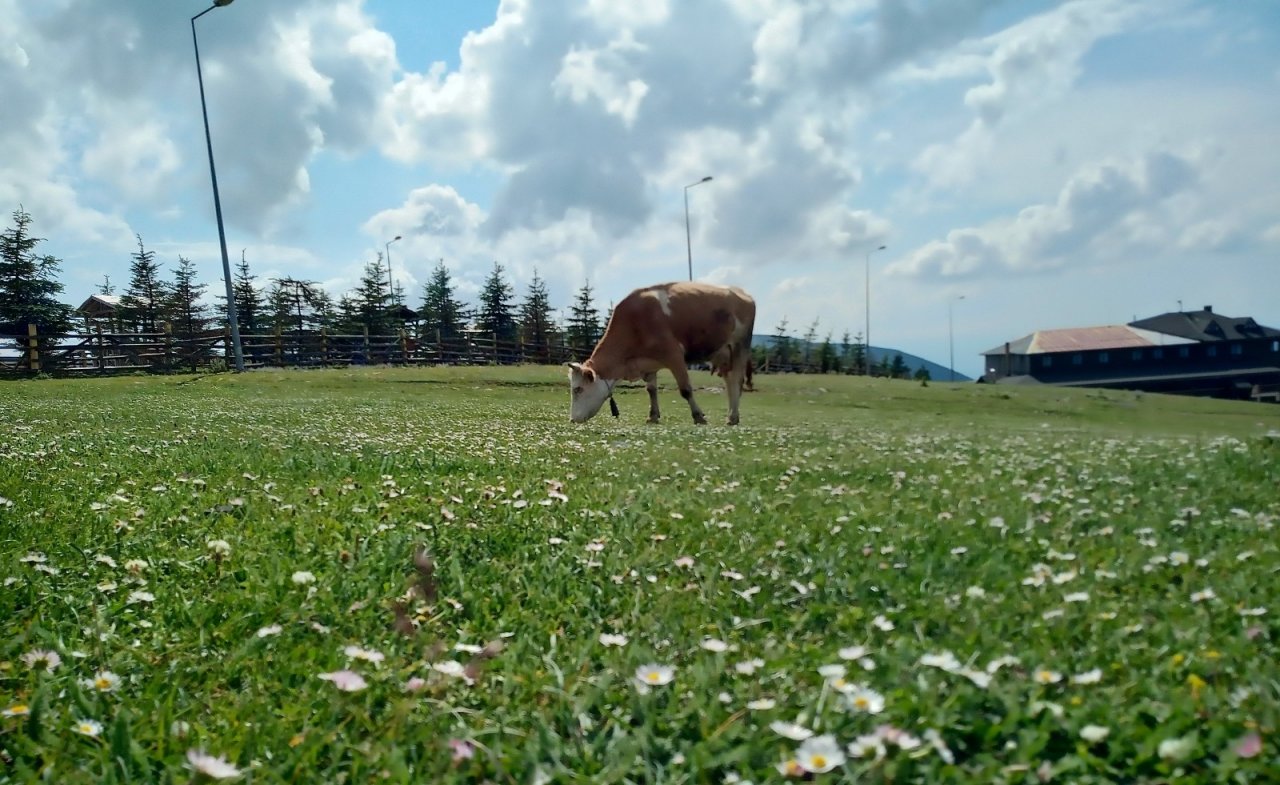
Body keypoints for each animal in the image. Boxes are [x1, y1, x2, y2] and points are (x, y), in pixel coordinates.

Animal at [565, 281, 752, 425]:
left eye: (578, 389)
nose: (572, 419)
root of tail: (741, 293)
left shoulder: (674, 355)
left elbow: (685, 389)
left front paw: (698, 416)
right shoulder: (649, 363)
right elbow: (651, 390)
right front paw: (653, 416)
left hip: (740, 346)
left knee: (736, 381)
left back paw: (733, 417)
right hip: (724, 354)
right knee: (730, 383)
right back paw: (731, 416)